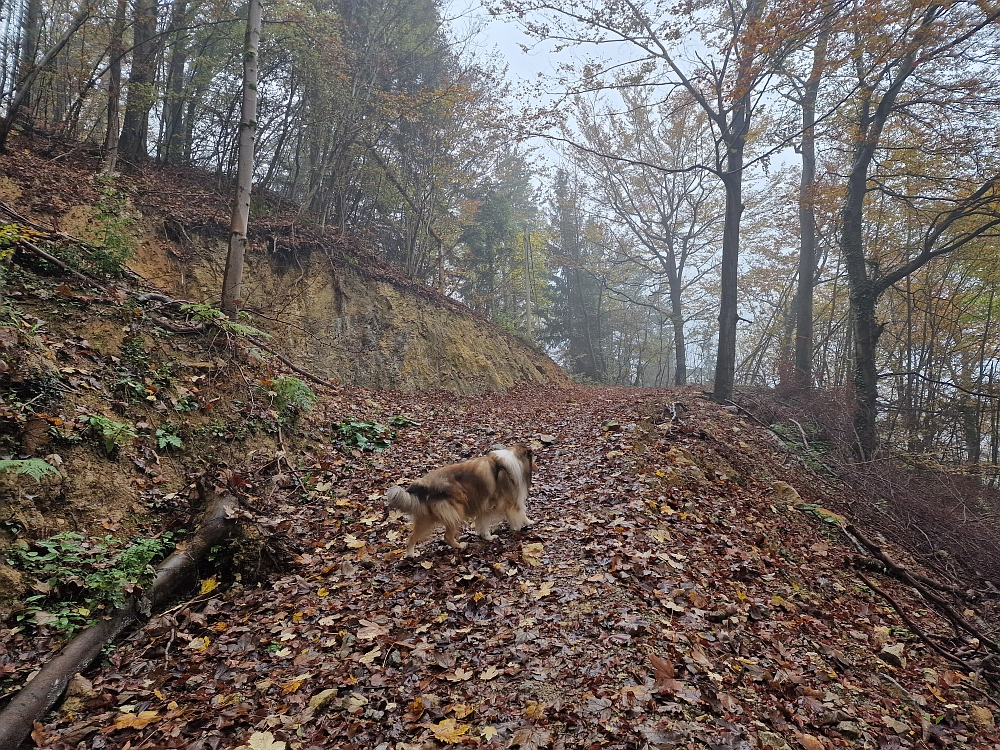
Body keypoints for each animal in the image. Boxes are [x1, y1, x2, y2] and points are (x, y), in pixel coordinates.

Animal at [386, 446, 536, 560]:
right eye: (533, 458)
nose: (537, 466)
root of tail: (423, 485)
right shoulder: (510, 501)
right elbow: (521, 512)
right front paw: (527, 523)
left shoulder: (485, 506)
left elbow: (484, 524)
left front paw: (487, 537)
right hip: (455, 512)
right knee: (446, 536)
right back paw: (459, 546)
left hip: (428, 517)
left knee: (412, 537)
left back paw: (411, 554)